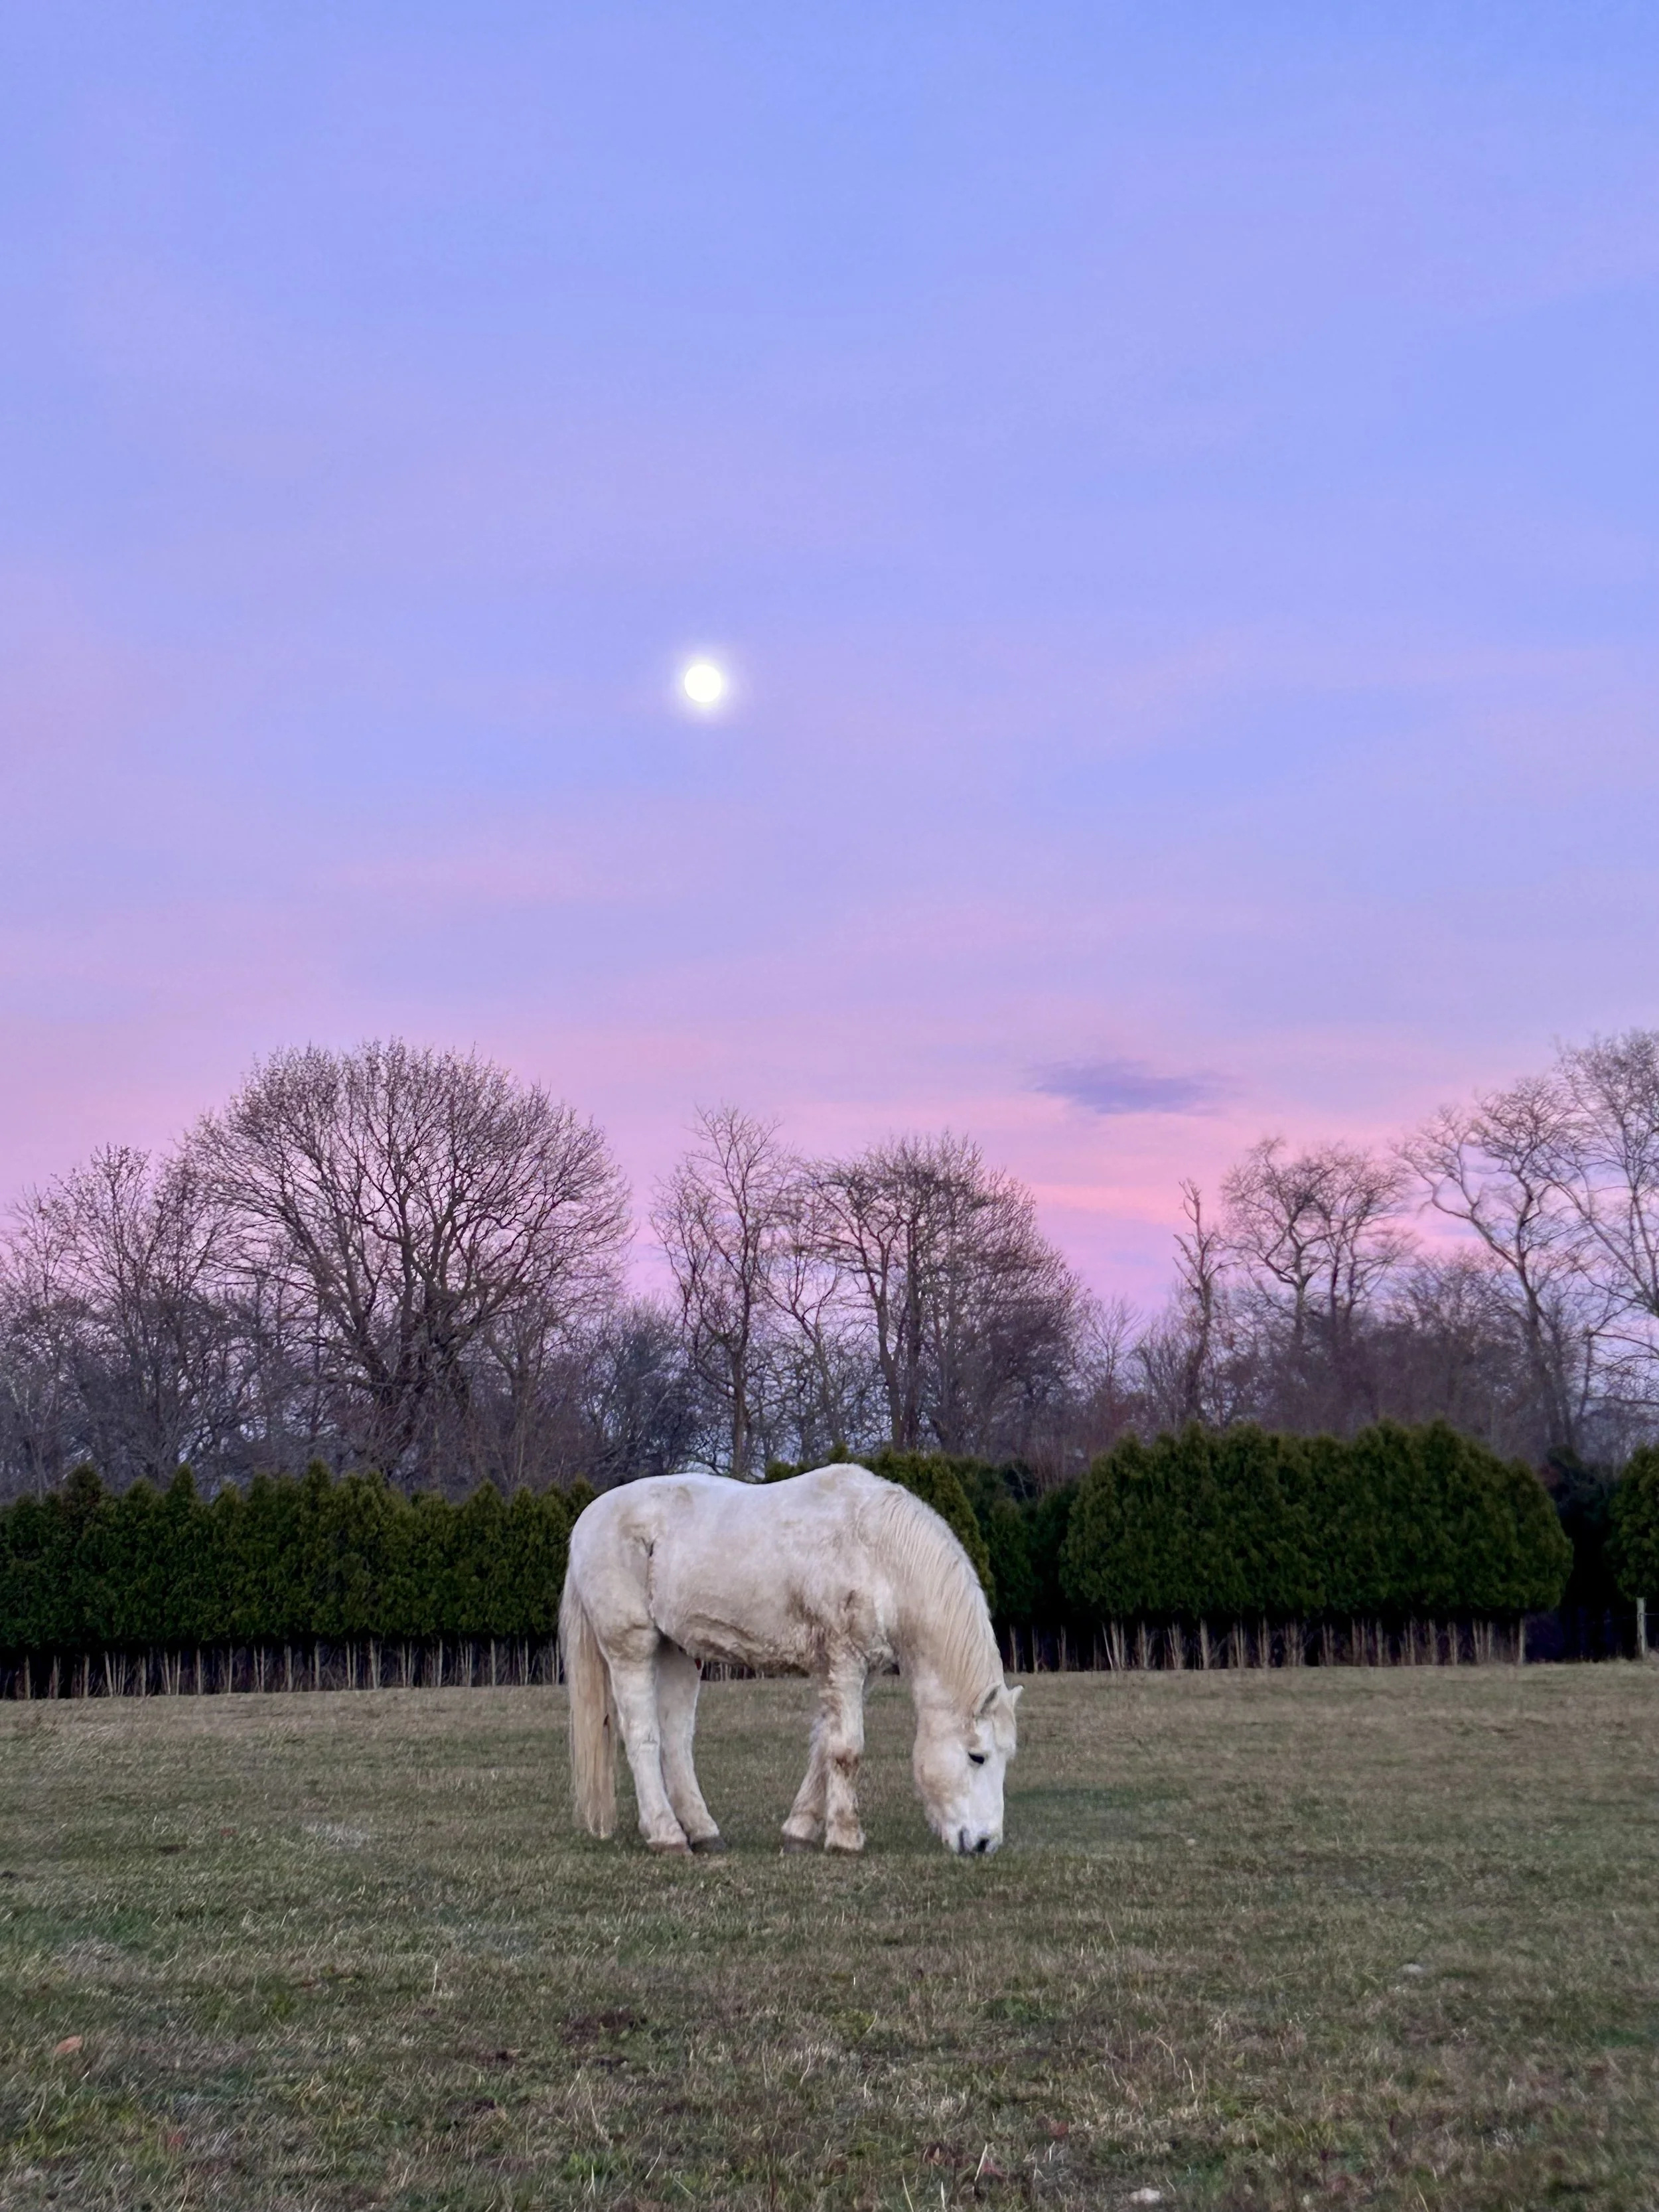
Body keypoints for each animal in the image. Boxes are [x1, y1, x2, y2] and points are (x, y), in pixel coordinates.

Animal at [558, 1463, 1020, 1857]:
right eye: (977, 1756)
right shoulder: (843, 1664)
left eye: (1006, 1757)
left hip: (680, 1653)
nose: (985, 1843)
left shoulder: (858, 1673)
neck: (877, 1552)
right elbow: (846, 1750)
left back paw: (703, 1833)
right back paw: (666, 1835)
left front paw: (799, 1832)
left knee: (676, 1742)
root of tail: (588, 1518)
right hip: (631, 1649)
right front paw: (846, 1838)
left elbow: (824, 1747)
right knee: (643, 1738)